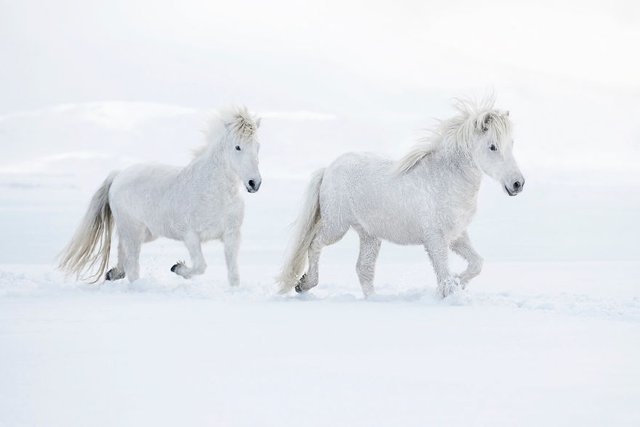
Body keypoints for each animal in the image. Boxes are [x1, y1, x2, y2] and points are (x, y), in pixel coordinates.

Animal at [58, 106, 262, 288]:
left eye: (258, 147)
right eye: (237, 147)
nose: (254, 183)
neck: (215, 193)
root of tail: (119, 175)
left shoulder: (231, 235)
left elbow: (233, 275)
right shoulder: (190, 236)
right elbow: (200, 266)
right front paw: (177, 267)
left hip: (145, 233)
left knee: (123, 256)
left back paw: (112, 273)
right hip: (132, 230)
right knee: (132, 266)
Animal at [280, 98, 524, 298]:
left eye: (512, 143)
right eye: (492, 146)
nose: (517, 184)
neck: (445, 178)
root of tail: (329, 168)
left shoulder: (457, 236)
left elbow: (476, 264)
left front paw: (459, 283)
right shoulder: (435, 239)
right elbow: (444, 275)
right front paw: (450, 291)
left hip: (369, 235)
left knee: (363, 269)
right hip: (336, 226)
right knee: (315, 244)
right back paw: (304, 284)